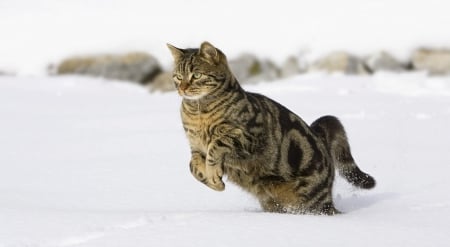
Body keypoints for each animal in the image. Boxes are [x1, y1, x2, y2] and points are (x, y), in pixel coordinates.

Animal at [167, 41, 374, 214]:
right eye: (177, 76)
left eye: (196, 75)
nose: (182, 88)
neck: (198, 113)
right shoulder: (195, 146)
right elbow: (192, 166)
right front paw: (214, 182)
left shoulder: (248, 137)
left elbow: (215, 146)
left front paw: (213, 173)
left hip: (313, 202)